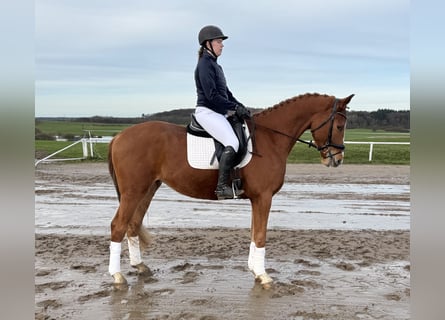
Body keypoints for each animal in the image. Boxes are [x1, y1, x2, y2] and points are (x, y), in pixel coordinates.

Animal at [106, 92, 352, 288]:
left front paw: (255, 271)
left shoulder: (256, 199)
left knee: (133, 224)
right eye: (339, 126)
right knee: (118, 226)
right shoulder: (264, 197)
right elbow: (260, 235)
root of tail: (119, 136)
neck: (271, 138)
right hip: (133, 192)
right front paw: (264, 276)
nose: (337, 159)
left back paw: (140, 266)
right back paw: (117, 276)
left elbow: (254, 233)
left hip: (147, 189)